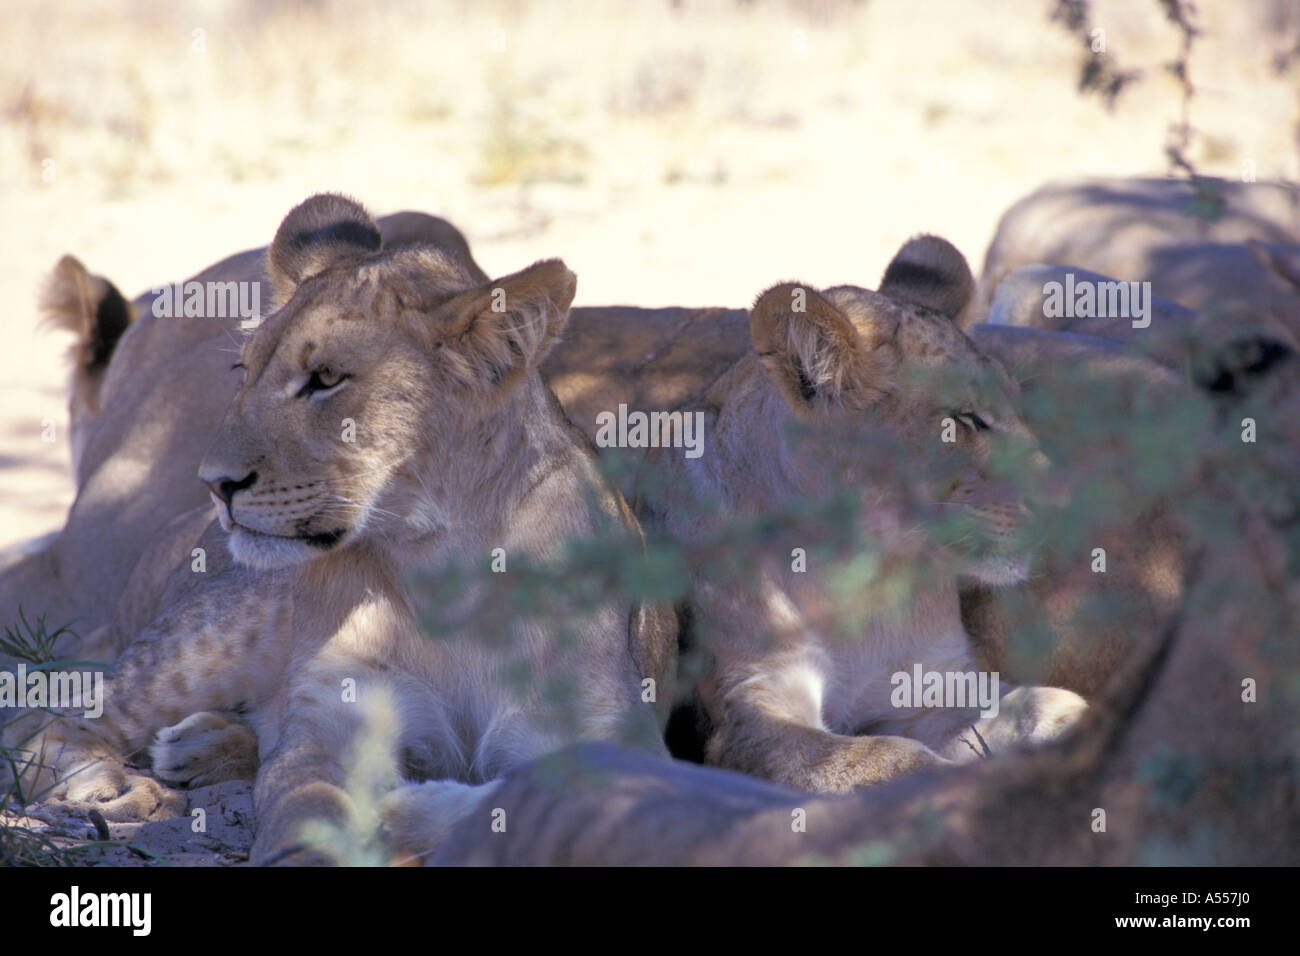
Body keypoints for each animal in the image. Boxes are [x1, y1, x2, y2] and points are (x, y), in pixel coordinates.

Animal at [4, 194, 675, 865]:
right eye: (243, 370)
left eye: (326, 378)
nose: (214, 482)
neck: (442, 568)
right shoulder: (331, 726)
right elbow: (308, 809)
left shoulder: (612, 741)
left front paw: (409, 812)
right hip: (211, 640)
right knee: (48, 717)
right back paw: (111, 785)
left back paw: (199, 747)